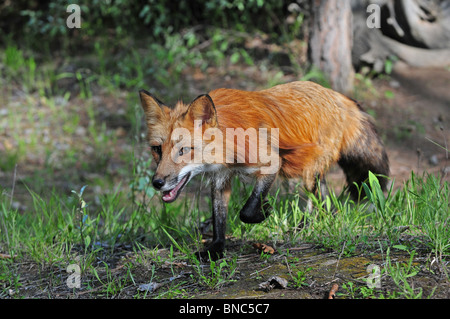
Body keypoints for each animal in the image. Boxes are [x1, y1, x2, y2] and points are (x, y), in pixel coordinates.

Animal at [139, 82, 388, 260]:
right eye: (157, 149)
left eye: (184, 150)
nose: (157, 183)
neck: (229, 143)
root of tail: (336, 95)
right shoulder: (220, 178)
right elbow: (219, 219)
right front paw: (217, 249)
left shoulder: (272, 162)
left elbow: (246, 211)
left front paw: (264, 211)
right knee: (324, 199)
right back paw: (313, 224)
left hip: (308, 172)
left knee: (317, 196)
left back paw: (307, 226)